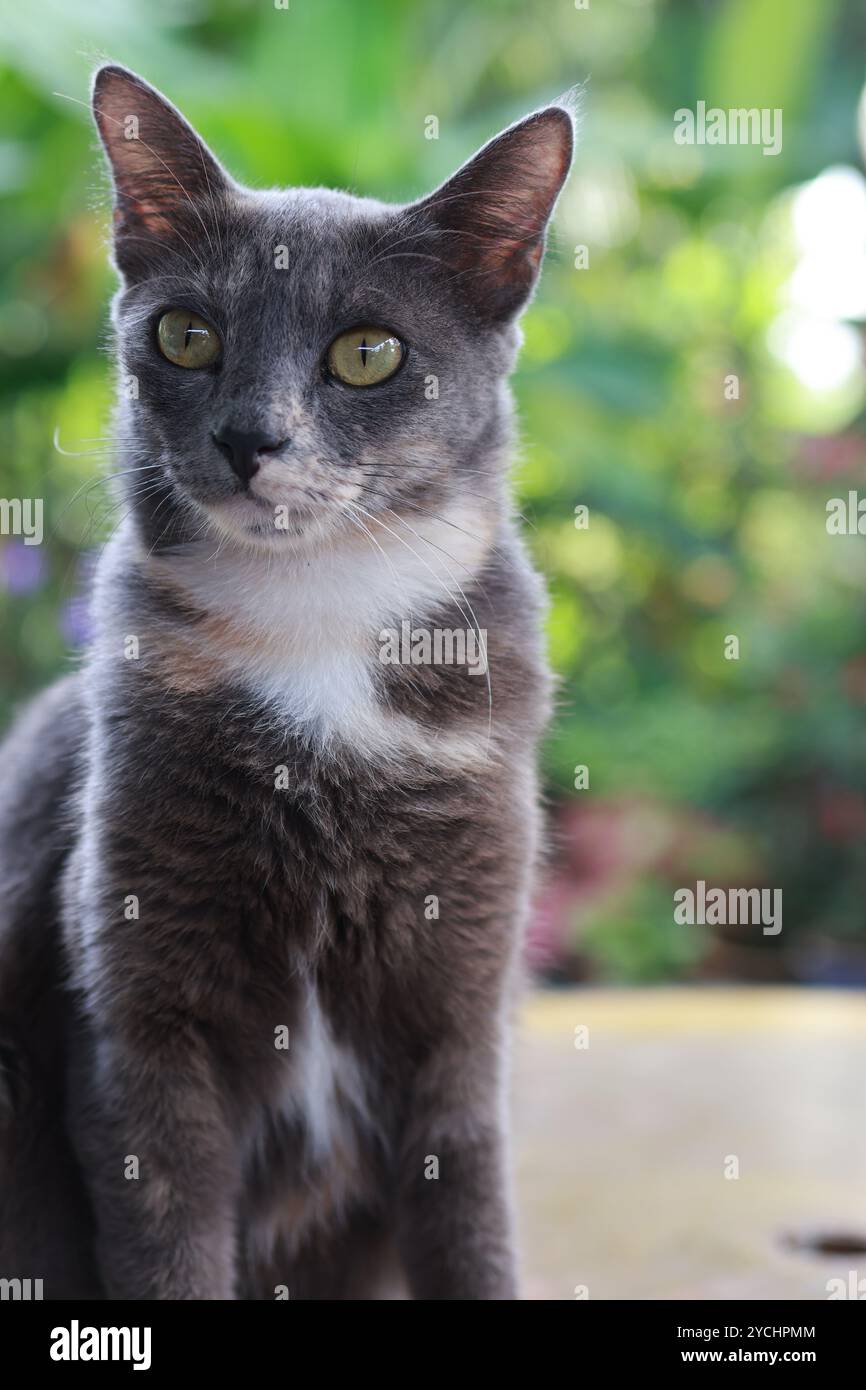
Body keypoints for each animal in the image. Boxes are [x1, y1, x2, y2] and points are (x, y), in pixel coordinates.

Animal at [0, 67, 575, 1301]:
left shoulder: (459, 1015)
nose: (248, 436)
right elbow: (166, 1243)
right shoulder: (138, 1021)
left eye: (368, 352)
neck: (316, 628)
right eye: (186, 333)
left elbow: (469, 1222)